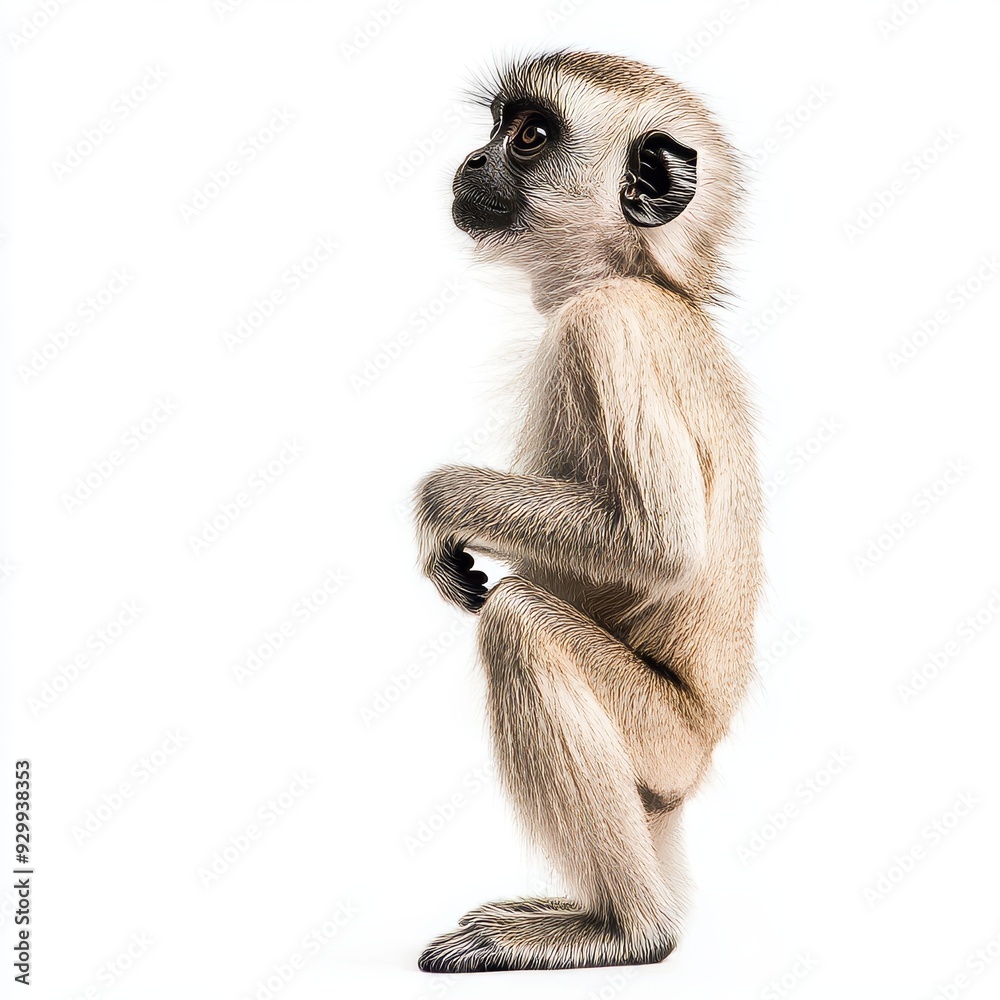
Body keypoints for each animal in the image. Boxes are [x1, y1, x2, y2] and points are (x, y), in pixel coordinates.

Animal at [412, 49, 763, 973]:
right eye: (496, 129)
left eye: (530, 138)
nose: (473, 160)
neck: (640, 276)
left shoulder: (607, 328)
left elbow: (656, 545)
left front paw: (442, 506)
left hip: (663, 743)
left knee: (520, 621)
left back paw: (628, 931)